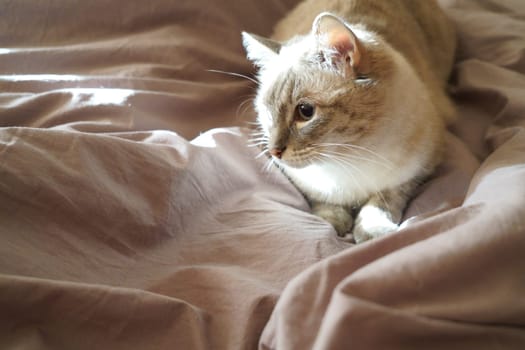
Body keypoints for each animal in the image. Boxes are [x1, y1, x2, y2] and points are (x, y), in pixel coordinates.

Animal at [242, 0, 454, 242]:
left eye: (305, 112)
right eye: (267, 112)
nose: (274, 151)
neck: (347, 157)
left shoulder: (420, 167)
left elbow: (384, 199)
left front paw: (371, 231)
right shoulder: (310, 186)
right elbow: (325, 203)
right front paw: (333, 223)